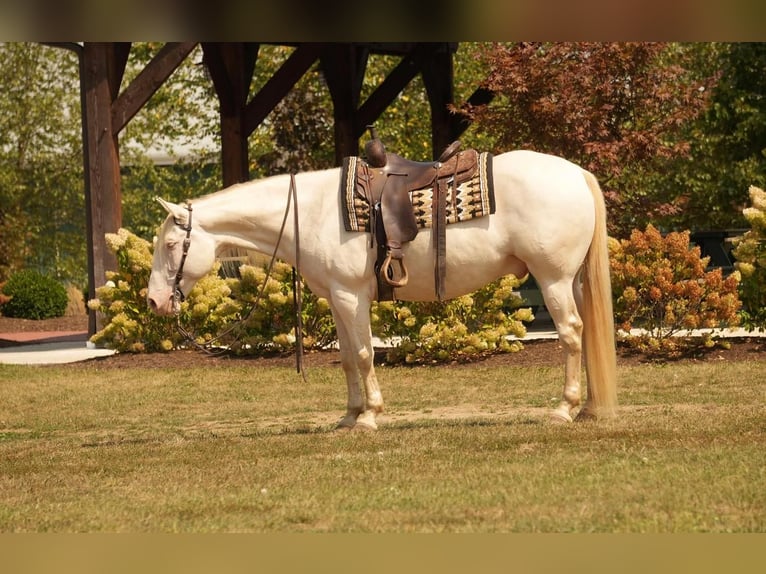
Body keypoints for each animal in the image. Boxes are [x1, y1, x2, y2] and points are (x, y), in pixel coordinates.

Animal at [148, 151, 616, 430]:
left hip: (553, 279)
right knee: (588, 332)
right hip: (572, 281)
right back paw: (590, 407)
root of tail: (576, 173)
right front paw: (349, 415)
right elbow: (347, 360)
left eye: (170, 245)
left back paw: (564, 408)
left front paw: (369, 417)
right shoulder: (336, 298)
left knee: (572, 335)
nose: (154, 301)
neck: (314, 213)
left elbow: (361, 354)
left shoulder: (352, 296)